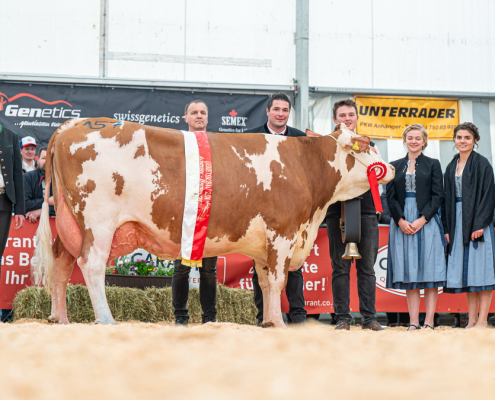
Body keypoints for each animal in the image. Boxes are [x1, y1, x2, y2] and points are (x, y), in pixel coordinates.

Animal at [33, 117, 396, 326]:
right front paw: (278, 324)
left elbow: (265, 283)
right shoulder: (282, 232)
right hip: (98, 221)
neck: (305, 166)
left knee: (62, 263)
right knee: (91, 266)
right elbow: (278, 281)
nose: (391, 168)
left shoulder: (266, 243)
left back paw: (59, 318)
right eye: (369, 144)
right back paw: (106, 320)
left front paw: (268, 323)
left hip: (70, 222)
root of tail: (71, 125)